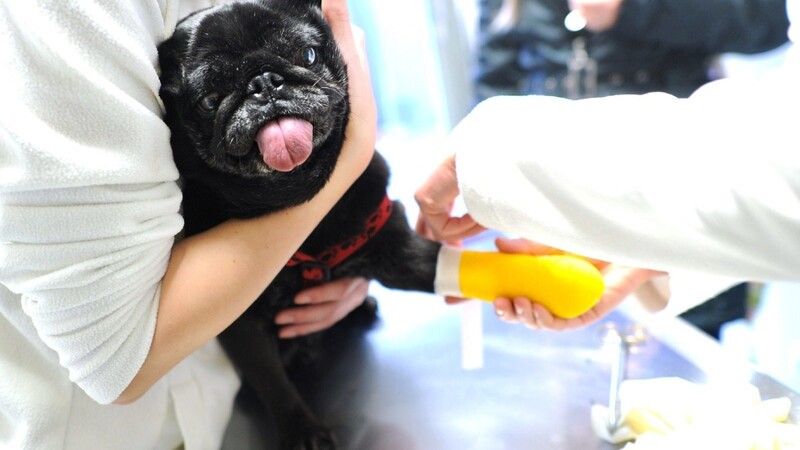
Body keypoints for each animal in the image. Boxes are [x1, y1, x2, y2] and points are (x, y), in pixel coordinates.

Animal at [159, 1, 440, 448]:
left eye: (305, 56)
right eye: (209, 100)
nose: (263, 83)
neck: (295, 197)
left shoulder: (394, 248)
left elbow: (443, 264)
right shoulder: (244, 328)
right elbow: (273, 383)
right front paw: (303, 431)